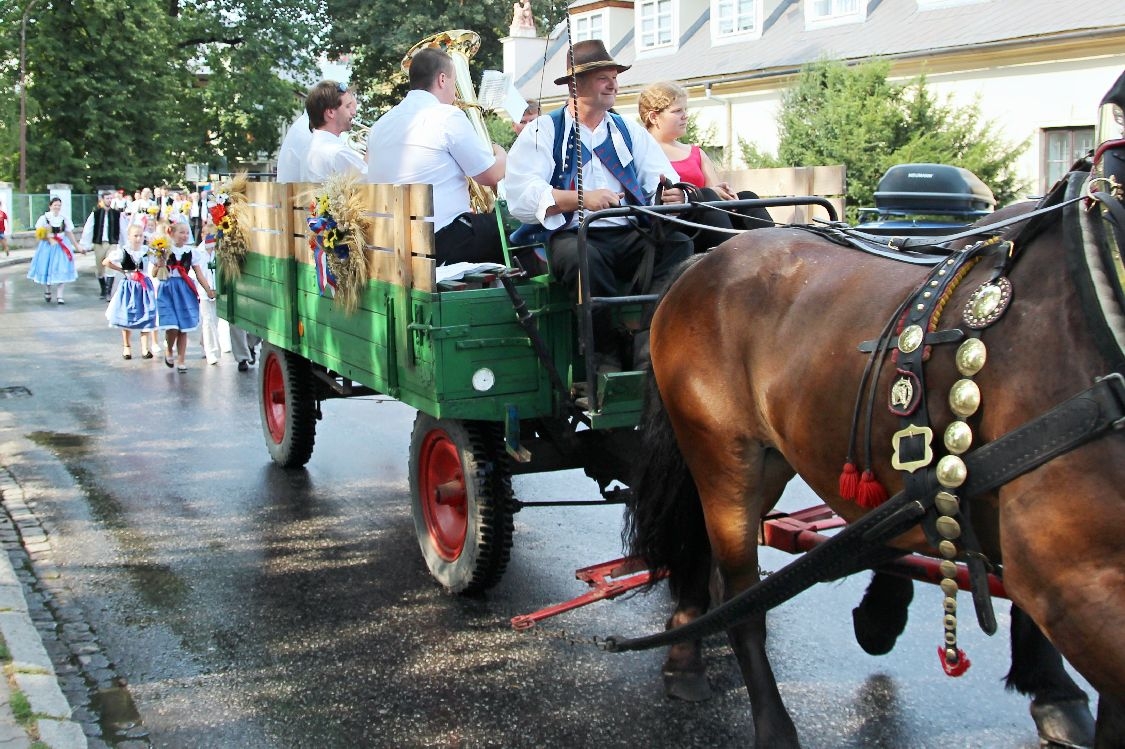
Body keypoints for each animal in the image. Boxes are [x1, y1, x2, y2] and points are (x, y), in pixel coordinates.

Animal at [621, 173, 1120, 742]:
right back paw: (769, 720)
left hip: (765, 462)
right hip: (723, 456)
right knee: (741, 594)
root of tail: (704, 261)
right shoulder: (1079, 583)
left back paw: (688, 647)